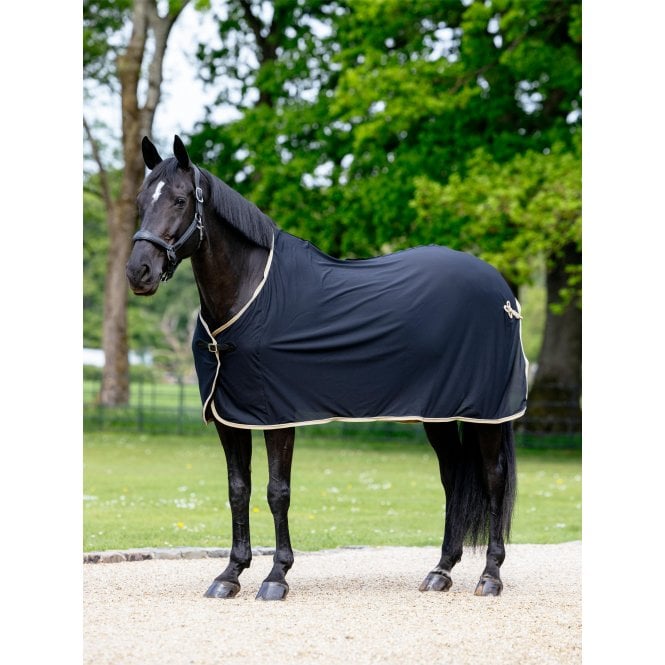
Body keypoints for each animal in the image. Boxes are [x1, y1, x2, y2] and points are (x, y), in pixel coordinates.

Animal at [126, 135, 528, 601]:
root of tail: (503, 293)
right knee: (453, 478)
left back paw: (490, 576)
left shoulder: (277, 416)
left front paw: (276, 577)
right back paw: (440, 571)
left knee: (494, 478)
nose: (138, 272)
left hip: (486, 413)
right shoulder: (230, 418)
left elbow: (277, 492)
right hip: (440, 414)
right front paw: (230, 575)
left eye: (179, 199)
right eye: (140, 201)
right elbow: (238, 490)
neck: (250, 293)